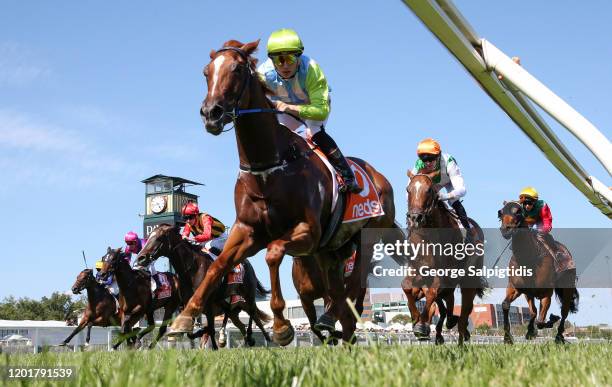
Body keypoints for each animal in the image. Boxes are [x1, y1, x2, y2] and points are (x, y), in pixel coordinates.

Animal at [139, 224, 272, 348]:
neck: (192, 269)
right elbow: (193, 332)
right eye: (149, 236)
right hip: (229, 304)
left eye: (159, 238)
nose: (141, 258)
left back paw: (259, 338)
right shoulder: (189, 302)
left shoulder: (208, 303)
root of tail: (247, 263)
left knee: (253, 314)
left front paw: (213, 344)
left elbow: (211, 329)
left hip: (248, 295)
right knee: (236, 317)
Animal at [167, 38, 396, 344]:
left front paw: (281, 325)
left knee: (353, 287)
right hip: (331, 252)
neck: (269, 168)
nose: (211, 113)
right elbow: (218, 265)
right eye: (206, 72)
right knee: (340, 300)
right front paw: (184, 317)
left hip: (367, 237)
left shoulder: (308, 232)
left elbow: (273, 253)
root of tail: (380, 177)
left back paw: (329, 316)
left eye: (237, 69)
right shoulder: (247, 231)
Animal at [404, 173, 486, 346]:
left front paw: (422, 326)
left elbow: (432, 293)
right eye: (408, 189)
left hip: (469, 281)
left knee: (464, 315)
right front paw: (416, 319)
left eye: (429, 190)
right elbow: (407, 288)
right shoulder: (418, 272)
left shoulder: (441, 277)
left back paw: (461, 341)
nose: (415, 217)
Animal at [498, 202, 580, 344]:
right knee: (534, 312)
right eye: (501, 213)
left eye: (518, 212)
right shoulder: (517, 288)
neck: (528, 258)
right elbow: (507, 305)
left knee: (564, 312)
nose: (505, 230)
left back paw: (559, 337)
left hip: (567, 286)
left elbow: (541, 321)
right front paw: (509, 337)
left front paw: (552, 319)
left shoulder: (546, 293)